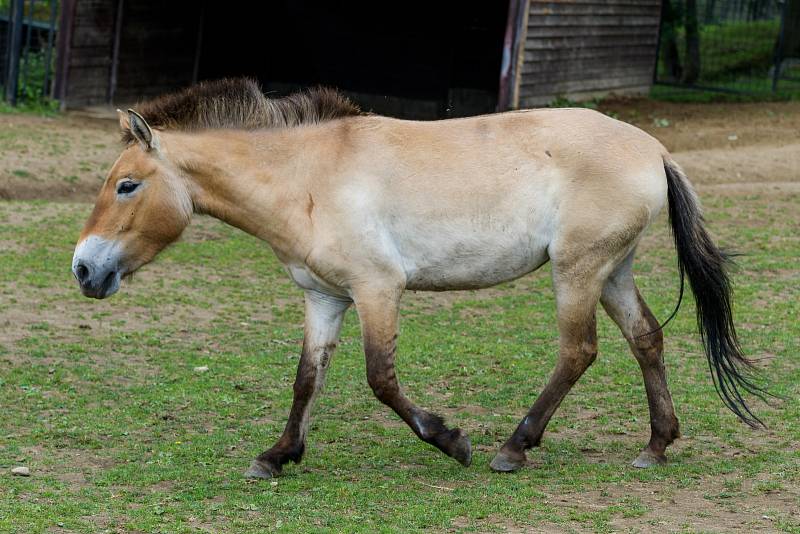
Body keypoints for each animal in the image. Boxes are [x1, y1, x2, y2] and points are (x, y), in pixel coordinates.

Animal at [70, 78, 764, 482]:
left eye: (126, 185)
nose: (83, 268)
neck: (307, 177)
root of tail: (654, 149)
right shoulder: (324, 297)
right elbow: (306, 379)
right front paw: (278, 456)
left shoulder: (378, 289)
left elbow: (381, 380)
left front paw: (451, 441)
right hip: (611, 269)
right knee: (646, 339)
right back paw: (656, 445)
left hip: (578, 270)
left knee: (578, 351)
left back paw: (513, 448)